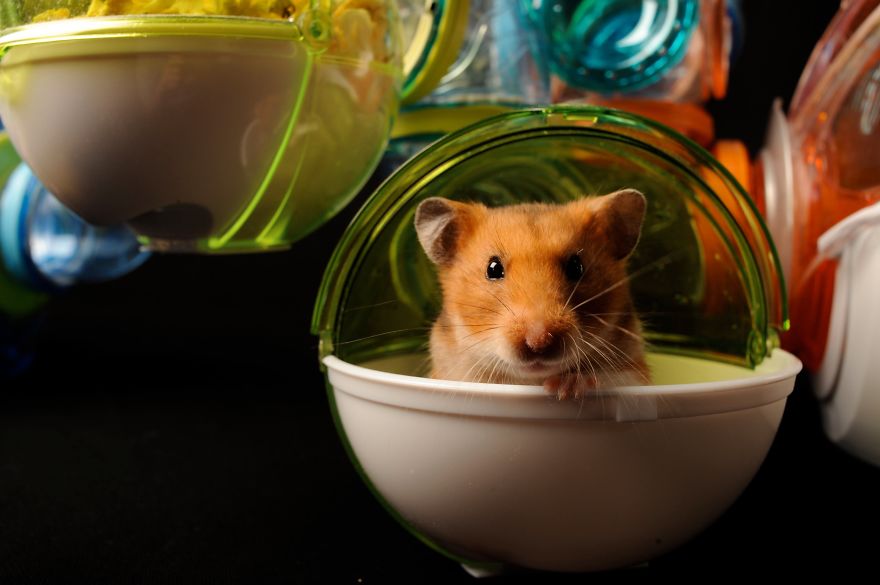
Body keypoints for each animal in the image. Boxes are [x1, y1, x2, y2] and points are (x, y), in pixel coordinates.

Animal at [414, 189, 650, 399]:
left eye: (576, 267)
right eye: (493, 269)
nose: (539, 342)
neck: (534, 380)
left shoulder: (635, 374)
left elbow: (607, 379)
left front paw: (566, 387)